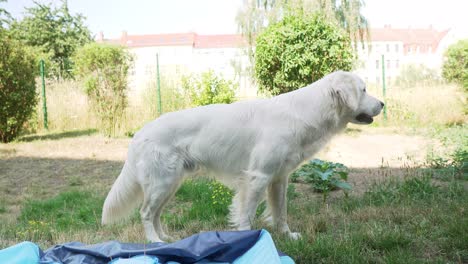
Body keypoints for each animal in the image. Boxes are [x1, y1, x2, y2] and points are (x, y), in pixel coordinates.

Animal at [102, 71, 384, 242]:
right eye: (363, 89)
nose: (383, 104)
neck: (304, 112)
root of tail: (140, 133)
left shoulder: (278, 179)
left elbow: (280, 212)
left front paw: (287, 236)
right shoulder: (257, 177)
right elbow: (246, 214)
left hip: (169, 184)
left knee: (156, 214)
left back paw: (166, 239)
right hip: (162, 183)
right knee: (146, 213)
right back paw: (154, 241)